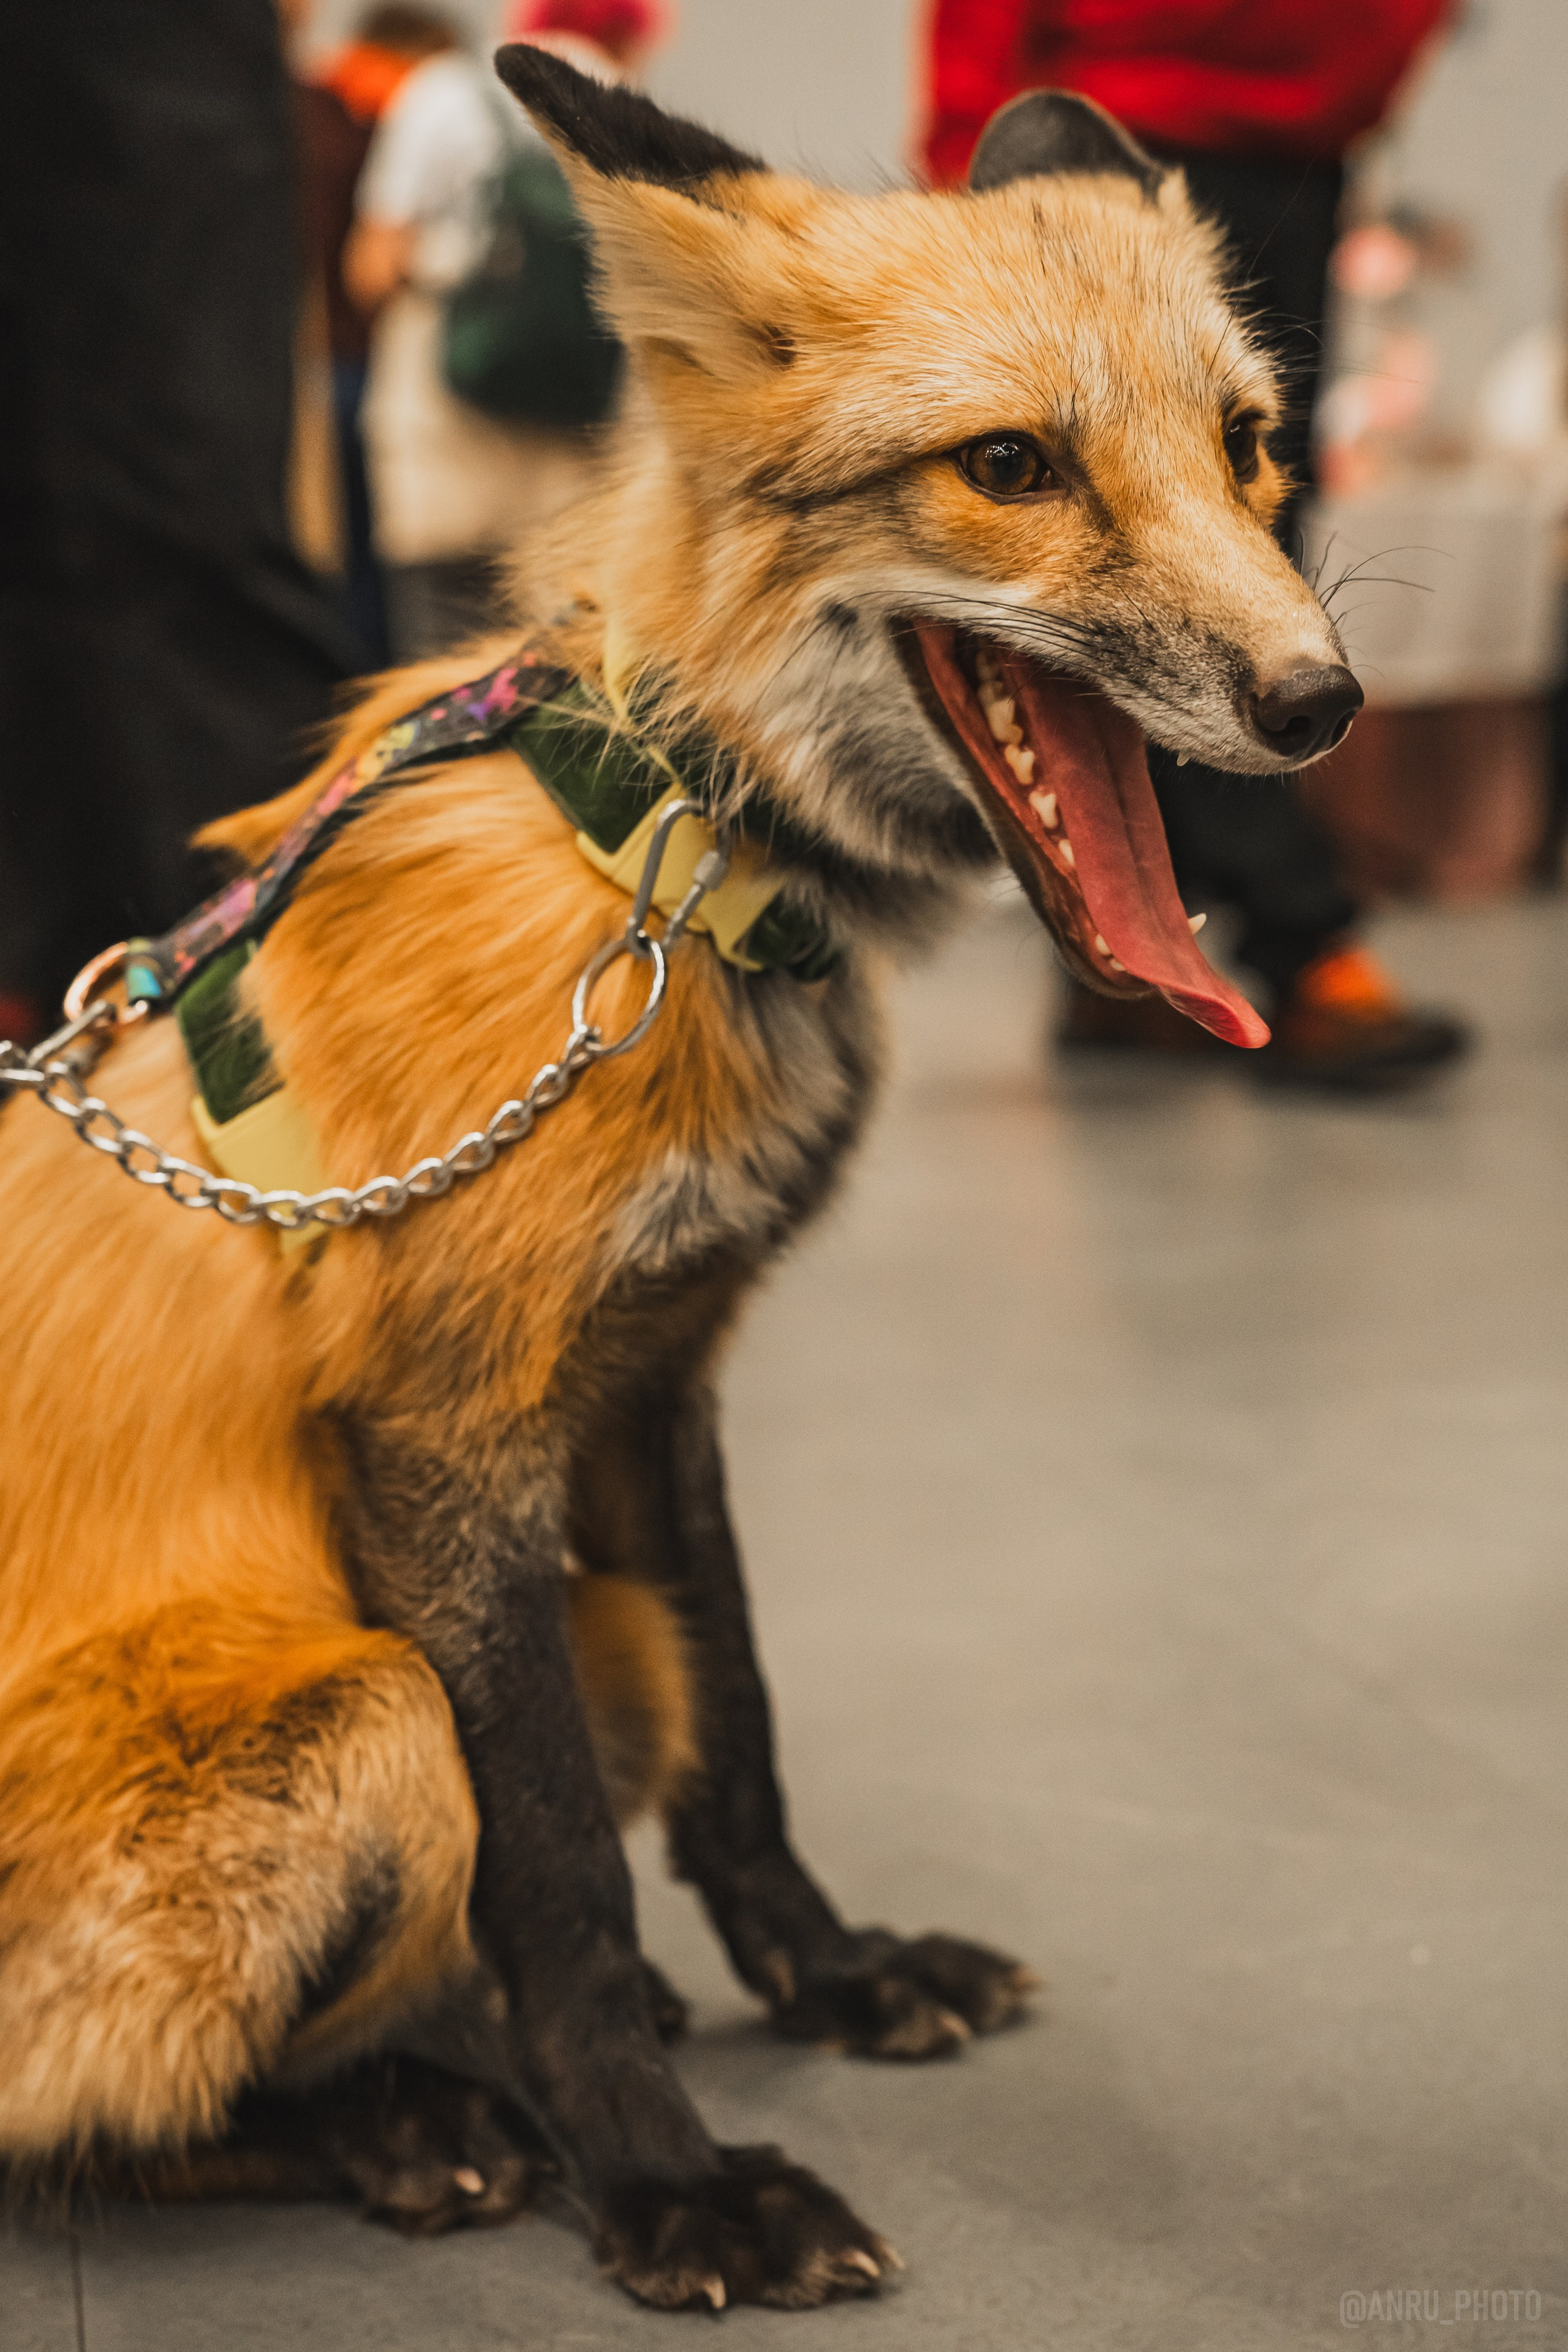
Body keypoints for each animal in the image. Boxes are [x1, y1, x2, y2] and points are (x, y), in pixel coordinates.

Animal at [0, 47, 1360, 2315]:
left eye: (1251, 445)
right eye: (1011, 464)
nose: (1323, 702)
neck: (661, 864)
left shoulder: (657, 1371)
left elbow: (745, 1741)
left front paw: (833, 1973)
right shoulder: (448, 1434)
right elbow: (560, 1881)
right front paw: (662, 2178)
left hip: (590, 1624)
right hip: (374, 1713)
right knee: (102, 2124)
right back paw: (421, 2127)